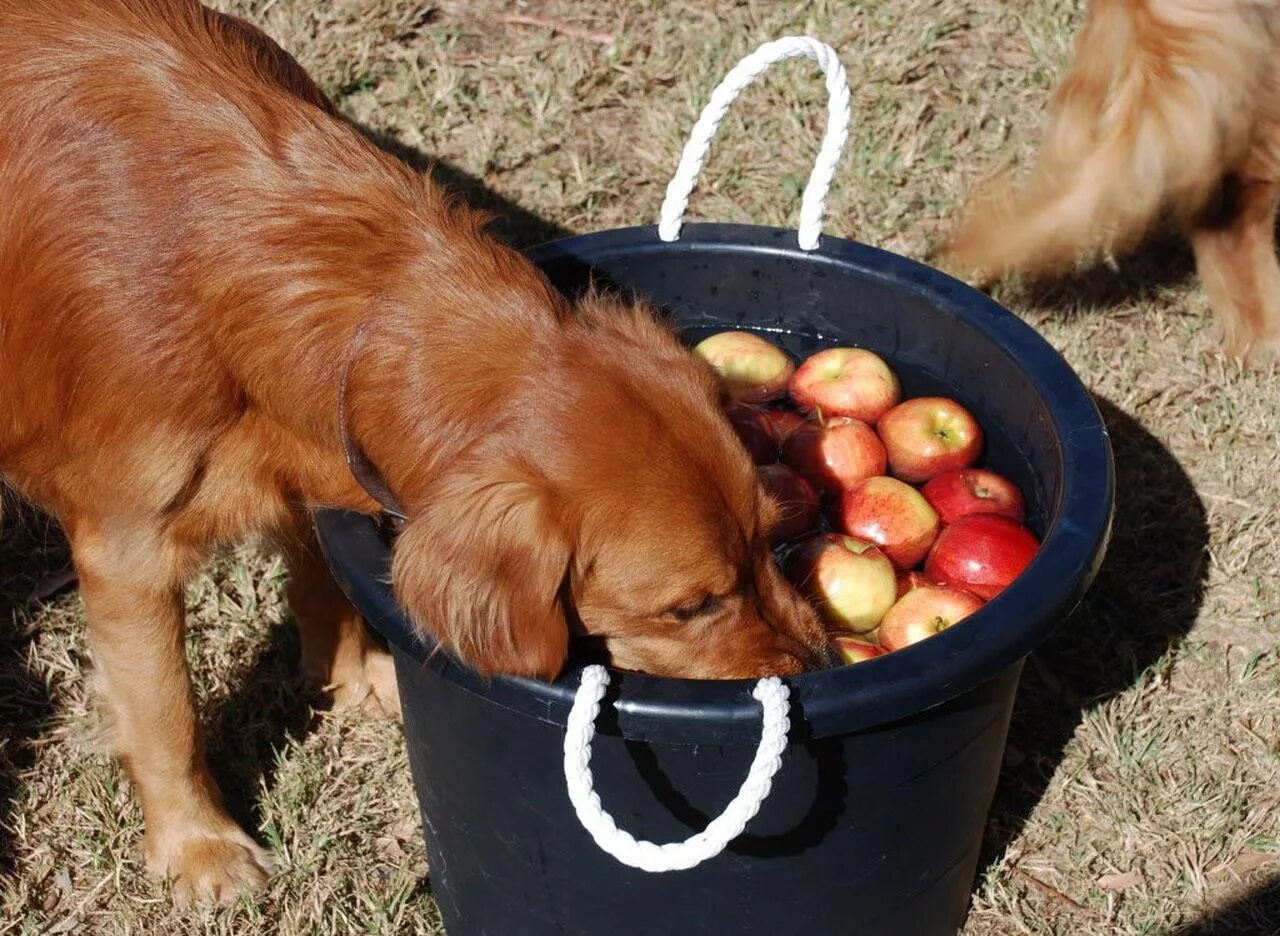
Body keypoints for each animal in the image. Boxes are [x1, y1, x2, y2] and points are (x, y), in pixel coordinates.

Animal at [0, 1, 839, 906]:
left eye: (773, 536)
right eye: (688, 607)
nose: (819, 662)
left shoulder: (319, 451)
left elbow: (323, 572)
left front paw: (355, 679)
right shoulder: (128, 550)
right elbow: (167, 714)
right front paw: (199, 847)